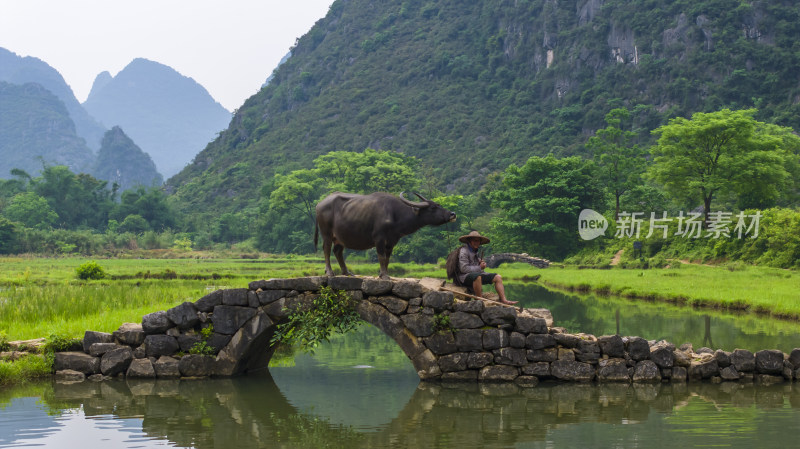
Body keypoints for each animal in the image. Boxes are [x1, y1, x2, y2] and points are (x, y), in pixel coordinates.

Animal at [316, 192, 460, 278]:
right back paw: (329, 272)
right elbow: (381, 256)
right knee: (326, 250)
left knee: (337, 251)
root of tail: (319, 204)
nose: (452, 214)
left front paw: (383, 273)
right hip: (326, 234)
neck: (394, 214)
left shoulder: (392, 241)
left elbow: (387, 258)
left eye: (438, 204)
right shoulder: (379, 239)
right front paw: (384, 275)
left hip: (340, 238)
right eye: (433, 208)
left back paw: (346, 272)